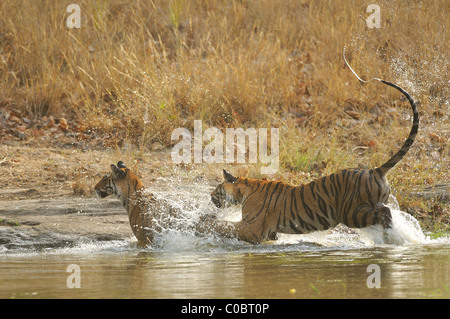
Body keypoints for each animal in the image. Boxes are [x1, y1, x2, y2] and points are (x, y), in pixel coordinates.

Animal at [195, 55, 420, 245]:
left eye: (218, 187)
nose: (210, 197)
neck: (246, 189)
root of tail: (374, 170)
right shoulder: (270, 233)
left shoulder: (252, 228)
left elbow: (224, 226)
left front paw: (202, 224)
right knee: (386, 212)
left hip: (351, 212)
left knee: (385, 213)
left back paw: (392, 236)